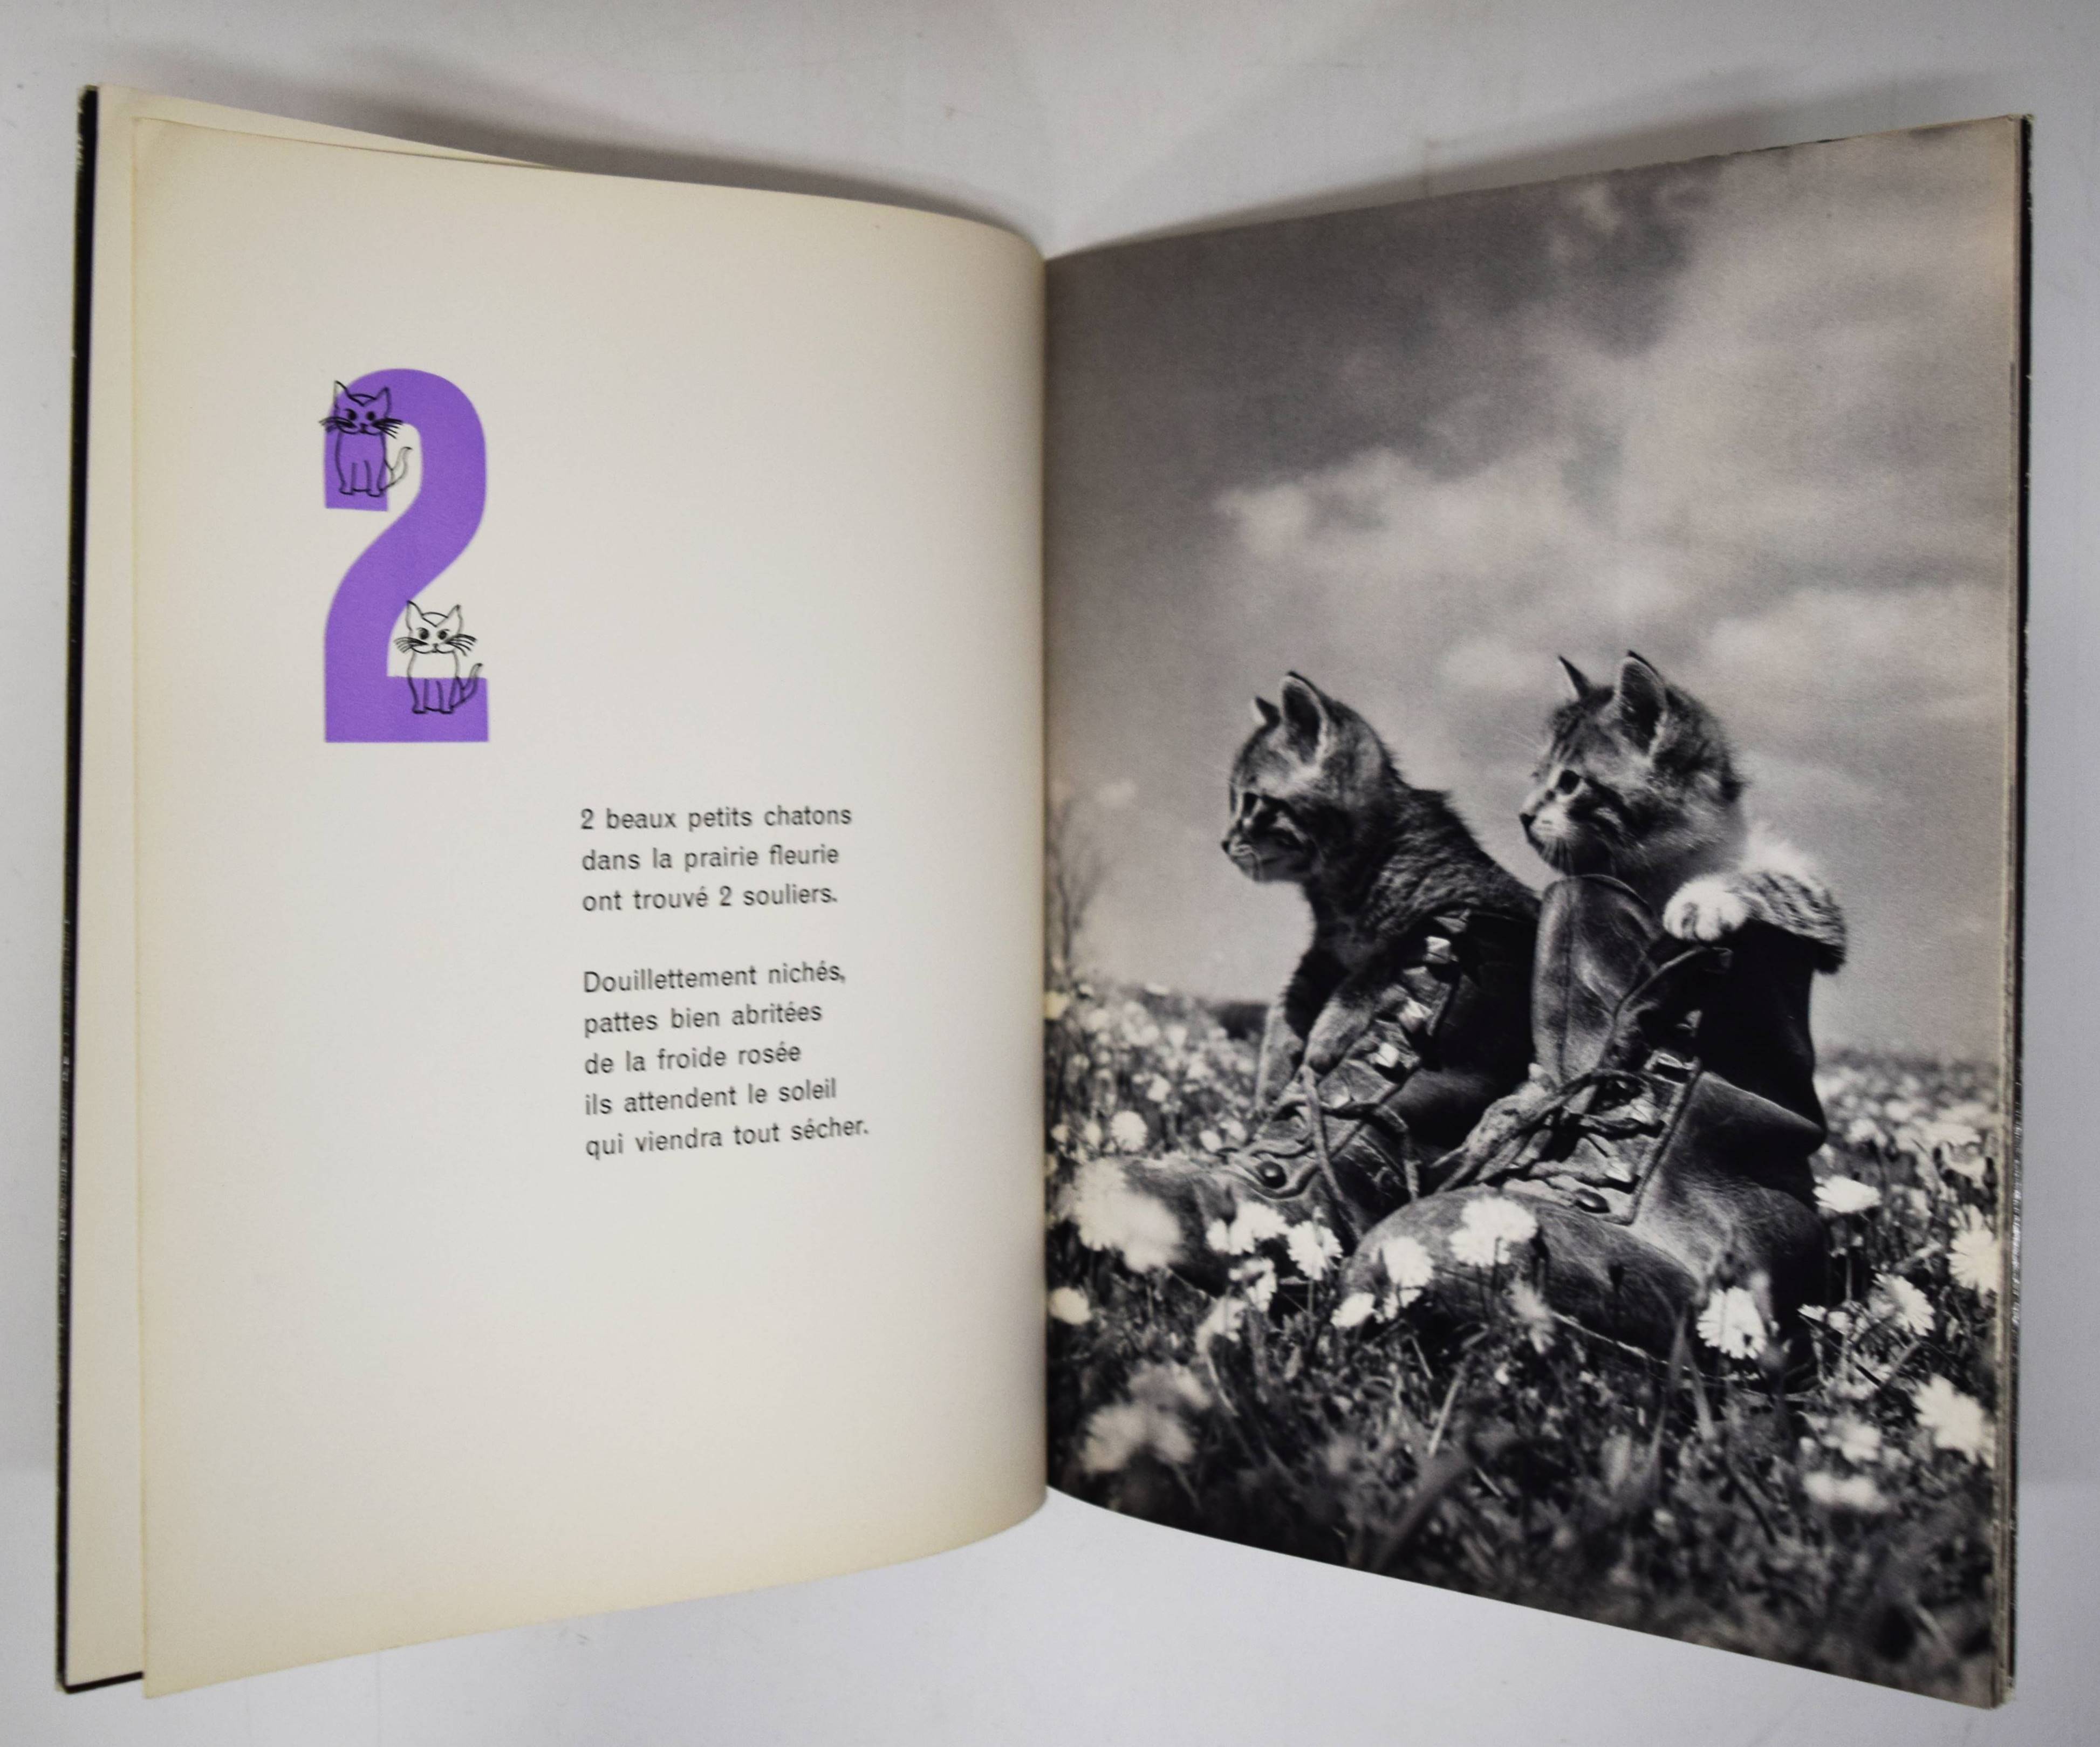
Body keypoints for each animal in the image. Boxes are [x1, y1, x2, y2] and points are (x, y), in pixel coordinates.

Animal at [322, 382, 411, 499]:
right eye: (351, 415)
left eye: (372, 416)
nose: (363, 424)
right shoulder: (344, 461)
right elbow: (347, 475)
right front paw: (346, 491)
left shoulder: (375, 462)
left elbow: (374, 476)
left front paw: (374, 493)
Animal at [394, 602, 482, 715]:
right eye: (423, 635)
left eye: (443, 635)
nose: (435, 644)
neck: (434, 660)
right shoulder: (418, 679)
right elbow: (419, 695)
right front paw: (419, 710)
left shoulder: (448, 679)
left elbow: (446, 694)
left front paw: (446, 710)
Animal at [1223, 673, 1538, 1108]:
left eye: (1252, 801)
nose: (1223, 842)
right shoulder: (1324, 953)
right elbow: (1289, 999)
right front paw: (1271, 1072)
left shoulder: (1457, 912)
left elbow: (1376, 967)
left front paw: (1329, 1032)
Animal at [1519, 652, 1845, 966]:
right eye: (1536, 777)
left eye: (1569, 782)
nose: (1524, 816)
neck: (1664, 867)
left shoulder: (1819, 907)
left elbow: (1774, 883)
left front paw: (1703, 901)